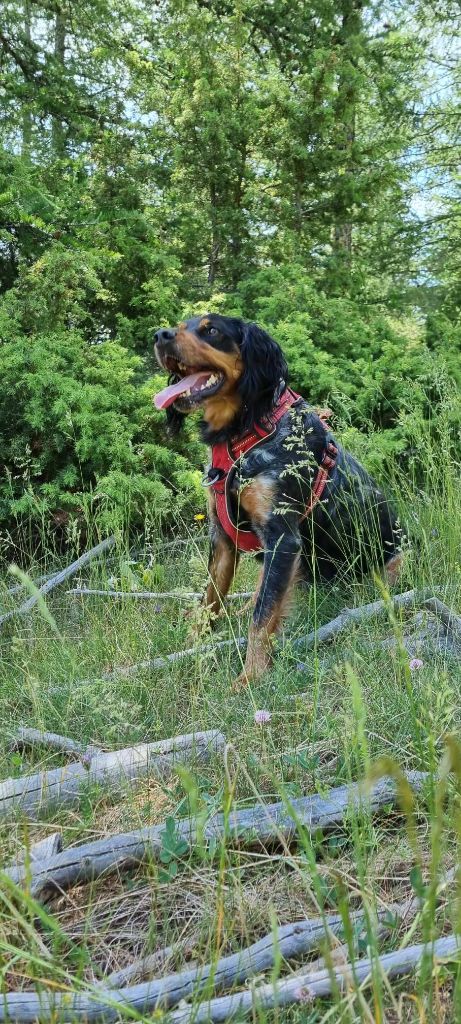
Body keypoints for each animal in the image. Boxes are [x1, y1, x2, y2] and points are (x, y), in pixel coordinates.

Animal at [152, 311, 401, 688]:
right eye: (181, 326)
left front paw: (250, 678)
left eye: (212, 330)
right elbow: (210, 599)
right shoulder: (222, 539)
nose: (160, 335)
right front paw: (192, 645)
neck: (244, 434)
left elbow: (262, 618)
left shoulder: (283, 537)